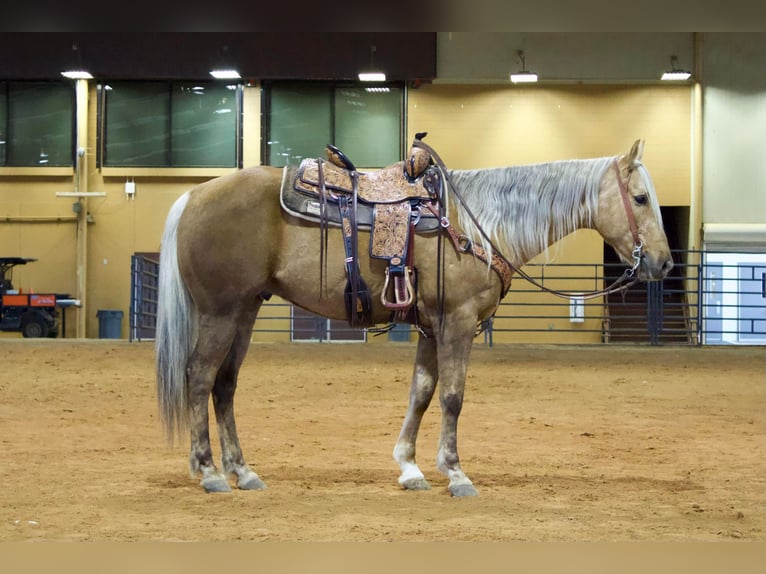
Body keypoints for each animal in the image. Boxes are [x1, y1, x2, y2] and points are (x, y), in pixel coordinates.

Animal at [154, 140, 672, 500]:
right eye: (640, 198)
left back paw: (243, 471)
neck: (475, 224)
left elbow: (421, 393)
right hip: (220, 314)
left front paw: (410, 468)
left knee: (225, 384)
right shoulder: (457, 322)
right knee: (199, 377)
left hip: (244, 312)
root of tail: (193, 196)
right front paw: (456, 473)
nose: (664, 263)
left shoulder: (431, 326)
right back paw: (209, 472)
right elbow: (452, 397)